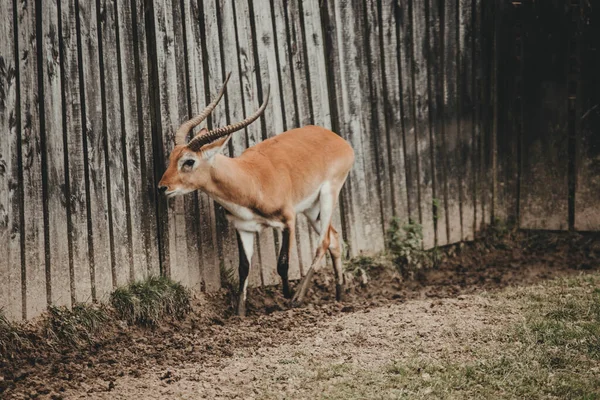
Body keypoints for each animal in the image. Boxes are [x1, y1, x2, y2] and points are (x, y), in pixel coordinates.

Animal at [159, 72, 354, 316]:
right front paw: (239, 314)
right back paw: (339, 297)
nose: (163, 187)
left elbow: (282, 264)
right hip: (312, 208)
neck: (251, 180)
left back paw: (299, 299)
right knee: (335, 239)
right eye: (171, 157)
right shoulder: (244, 228)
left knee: (323, 242)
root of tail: (338, 139)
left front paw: (287, 299)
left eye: (189, 161)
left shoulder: (288, 220)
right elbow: (244, 268)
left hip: (329, 194)